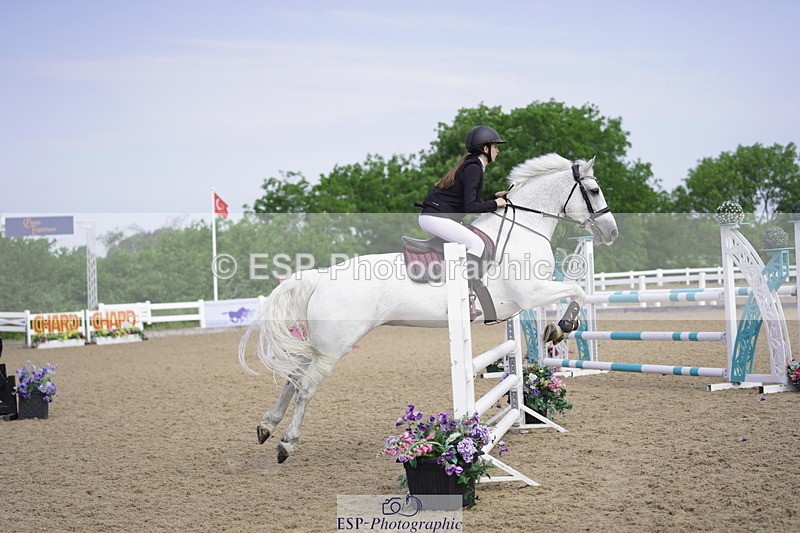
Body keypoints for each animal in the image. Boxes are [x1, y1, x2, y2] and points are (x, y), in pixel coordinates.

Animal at [238, 153, 618, 462]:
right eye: (594, 190)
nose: (611, 232)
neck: (523, 229)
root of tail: (321, 276)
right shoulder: (531, 293)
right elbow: (576, 290)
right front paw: (562, 327)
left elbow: (573, 291)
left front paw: (555, 329)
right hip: (335, 346)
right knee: (306, 387)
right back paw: (286, 443)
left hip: (321, 345)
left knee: (293, 376)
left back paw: (266, 426)